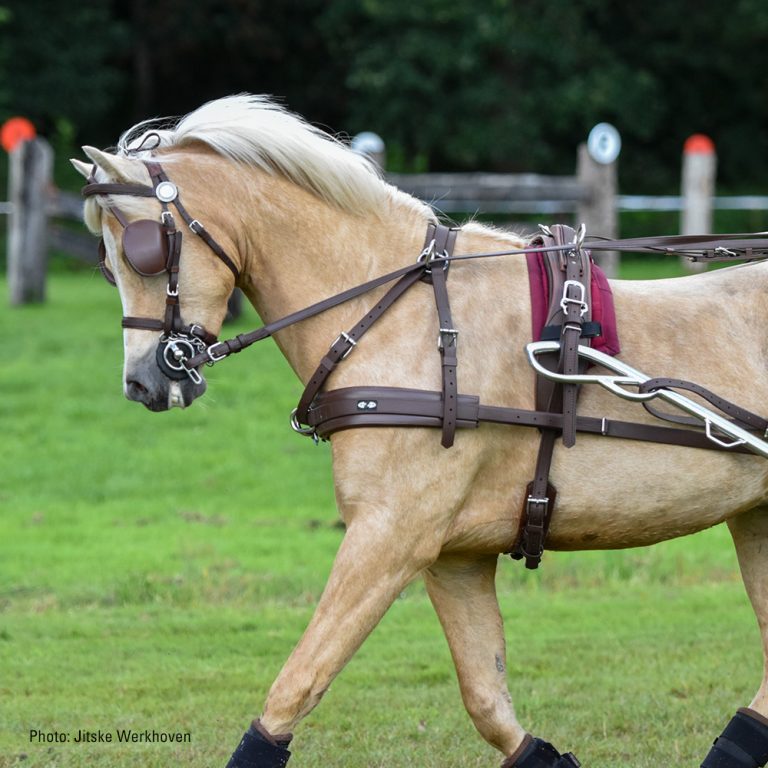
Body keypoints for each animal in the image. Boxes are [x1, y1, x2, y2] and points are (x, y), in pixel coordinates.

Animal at [72, 94, 768, 768]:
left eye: (143, 250)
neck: (395, 312)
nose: (144, 382)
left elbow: (298, 682)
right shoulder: (456, 554)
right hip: (755, 518)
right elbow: (486, 698)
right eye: (107, 265)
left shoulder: (392, 534)